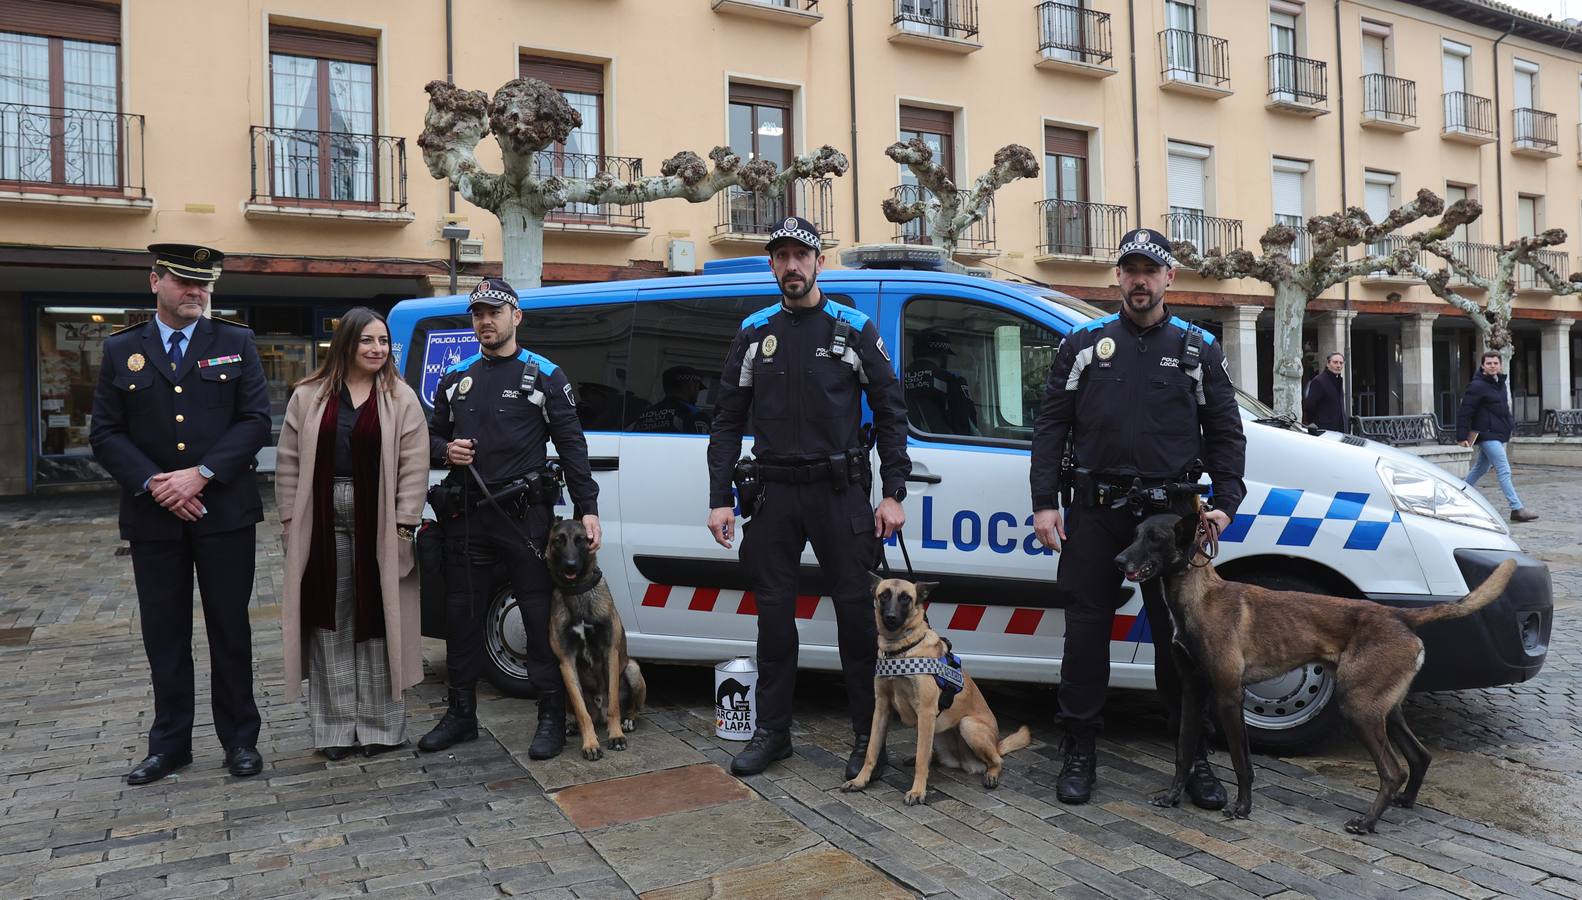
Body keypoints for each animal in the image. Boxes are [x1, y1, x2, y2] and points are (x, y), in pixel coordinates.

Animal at [544, 518, 642, 759]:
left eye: (582, 540)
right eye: (558, 540)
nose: (570, 565)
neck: (577, 591)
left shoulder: (610, 653)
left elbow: (614, 705)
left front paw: (616, 736)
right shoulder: (566, 662)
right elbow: (581, 711)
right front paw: (590, 743)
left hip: (633, 669)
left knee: (631, 708)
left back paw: (628, 720)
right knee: (576, 709)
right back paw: (570, 723)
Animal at [847, 575, 1031, 806]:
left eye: (906, 598)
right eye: (884, 595)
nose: (890, 617)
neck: (900, 649)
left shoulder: (926, 711)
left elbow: (921, 761)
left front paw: (917, 792)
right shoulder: (882, 708)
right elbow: (872, 749)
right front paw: (860, 780)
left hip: (967, 725)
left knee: (996, 760)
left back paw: (991, 774)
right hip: (935, 730)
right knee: (930, 753)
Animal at [1120, 509, 1512, 828]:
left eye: (1155, 538)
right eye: (1135, 533)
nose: (1118, 559)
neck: (1200, 598)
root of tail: (1399, 615)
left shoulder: (1228, 696)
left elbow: (1241, 761)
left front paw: (1243, 808)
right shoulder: (1192, 690)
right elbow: (1184, 751)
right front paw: (1172, 796)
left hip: (1358, 707)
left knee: (1393, 769)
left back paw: (1367, 821)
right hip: (1385, 709)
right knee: (1419, 755)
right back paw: (1404, 802)